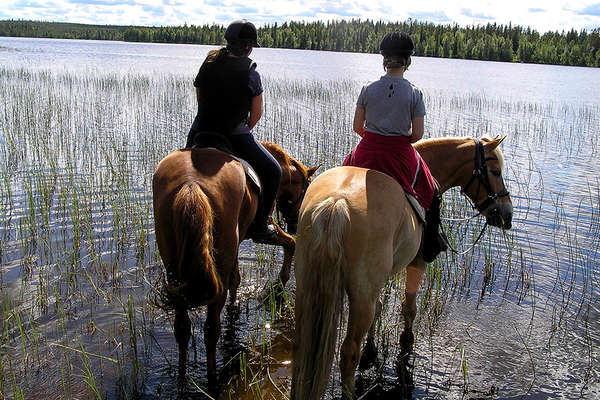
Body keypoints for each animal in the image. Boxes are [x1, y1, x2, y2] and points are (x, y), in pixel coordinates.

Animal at [152, 141, 318, 382]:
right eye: (307, 189)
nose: (296, 222)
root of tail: (191, 183)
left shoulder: (237, 244)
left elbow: (235, 279)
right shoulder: (261, 232)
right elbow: (290, 244)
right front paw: (279, 284)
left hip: (175, 267)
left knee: (182, 327)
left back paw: (183, 377)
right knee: (211, 329)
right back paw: (213, 379)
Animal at [290, 136, 510, 398]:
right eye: (496, 171)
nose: (506, 215)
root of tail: (336, 202)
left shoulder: (377, 282)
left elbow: (379, 307)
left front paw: (372, 348)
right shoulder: (418, 262)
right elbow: (409, 308)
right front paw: (406, 342)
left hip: (308, 284)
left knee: (303, 343)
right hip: (361, 293)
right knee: (348, 353)